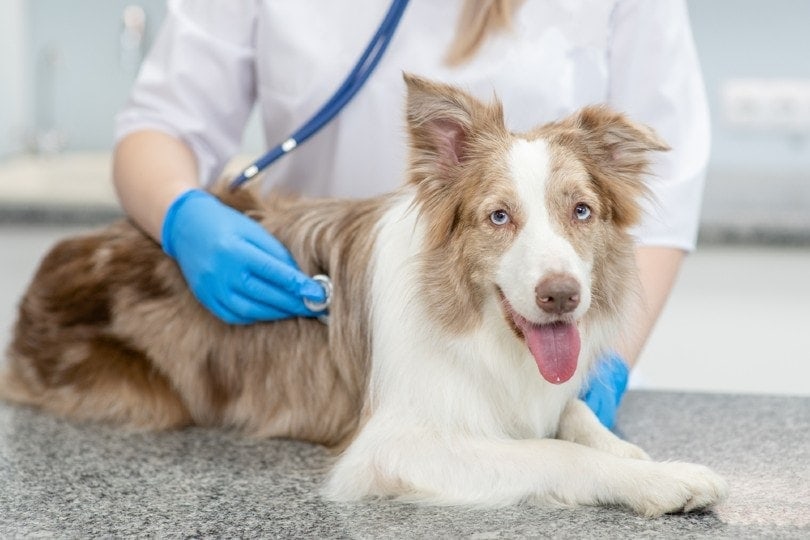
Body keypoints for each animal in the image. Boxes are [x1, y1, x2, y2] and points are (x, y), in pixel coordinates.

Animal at [0, 75, 724, 516]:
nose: (562, 297)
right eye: (498, 217)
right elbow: (552, 452)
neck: (482, 330)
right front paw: (660, 478)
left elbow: (574, 416)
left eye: (580, 211)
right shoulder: (393, 446)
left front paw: (634, 452)